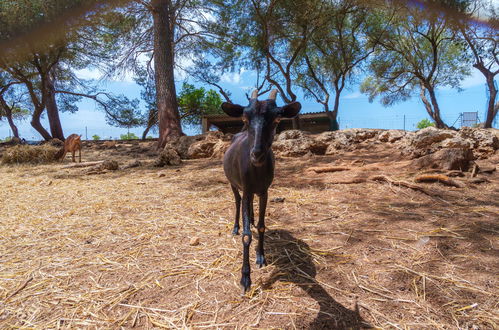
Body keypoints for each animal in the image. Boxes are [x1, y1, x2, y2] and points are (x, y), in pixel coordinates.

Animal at [222, 89, 300, 292]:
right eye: (244, 118)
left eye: (277, 119)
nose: (256, 154)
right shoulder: (246, 188)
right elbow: (246, 235)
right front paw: (245, 278)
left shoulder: (264, 191)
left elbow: (262, 226)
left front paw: (260, 256)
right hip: (233, 183)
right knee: (238, 201)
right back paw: (235, 227)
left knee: (249, 206)